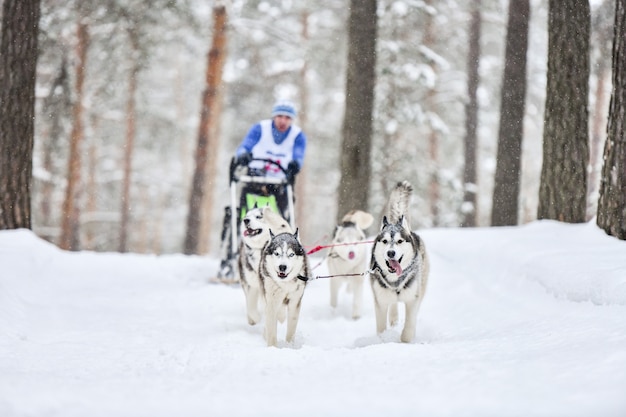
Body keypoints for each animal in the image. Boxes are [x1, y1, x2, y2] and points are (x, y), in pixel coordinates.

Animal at [368, 179, 426, 342]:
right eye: (385, 241)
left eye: (400, 241)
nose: (391, 252)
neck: (395, 281)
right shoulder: (380, 302)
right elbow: (381, 328)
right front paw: (382, 340)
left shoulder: (412, 300)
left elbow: (409, 325)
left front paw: (406, 340)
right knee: (393, 305)